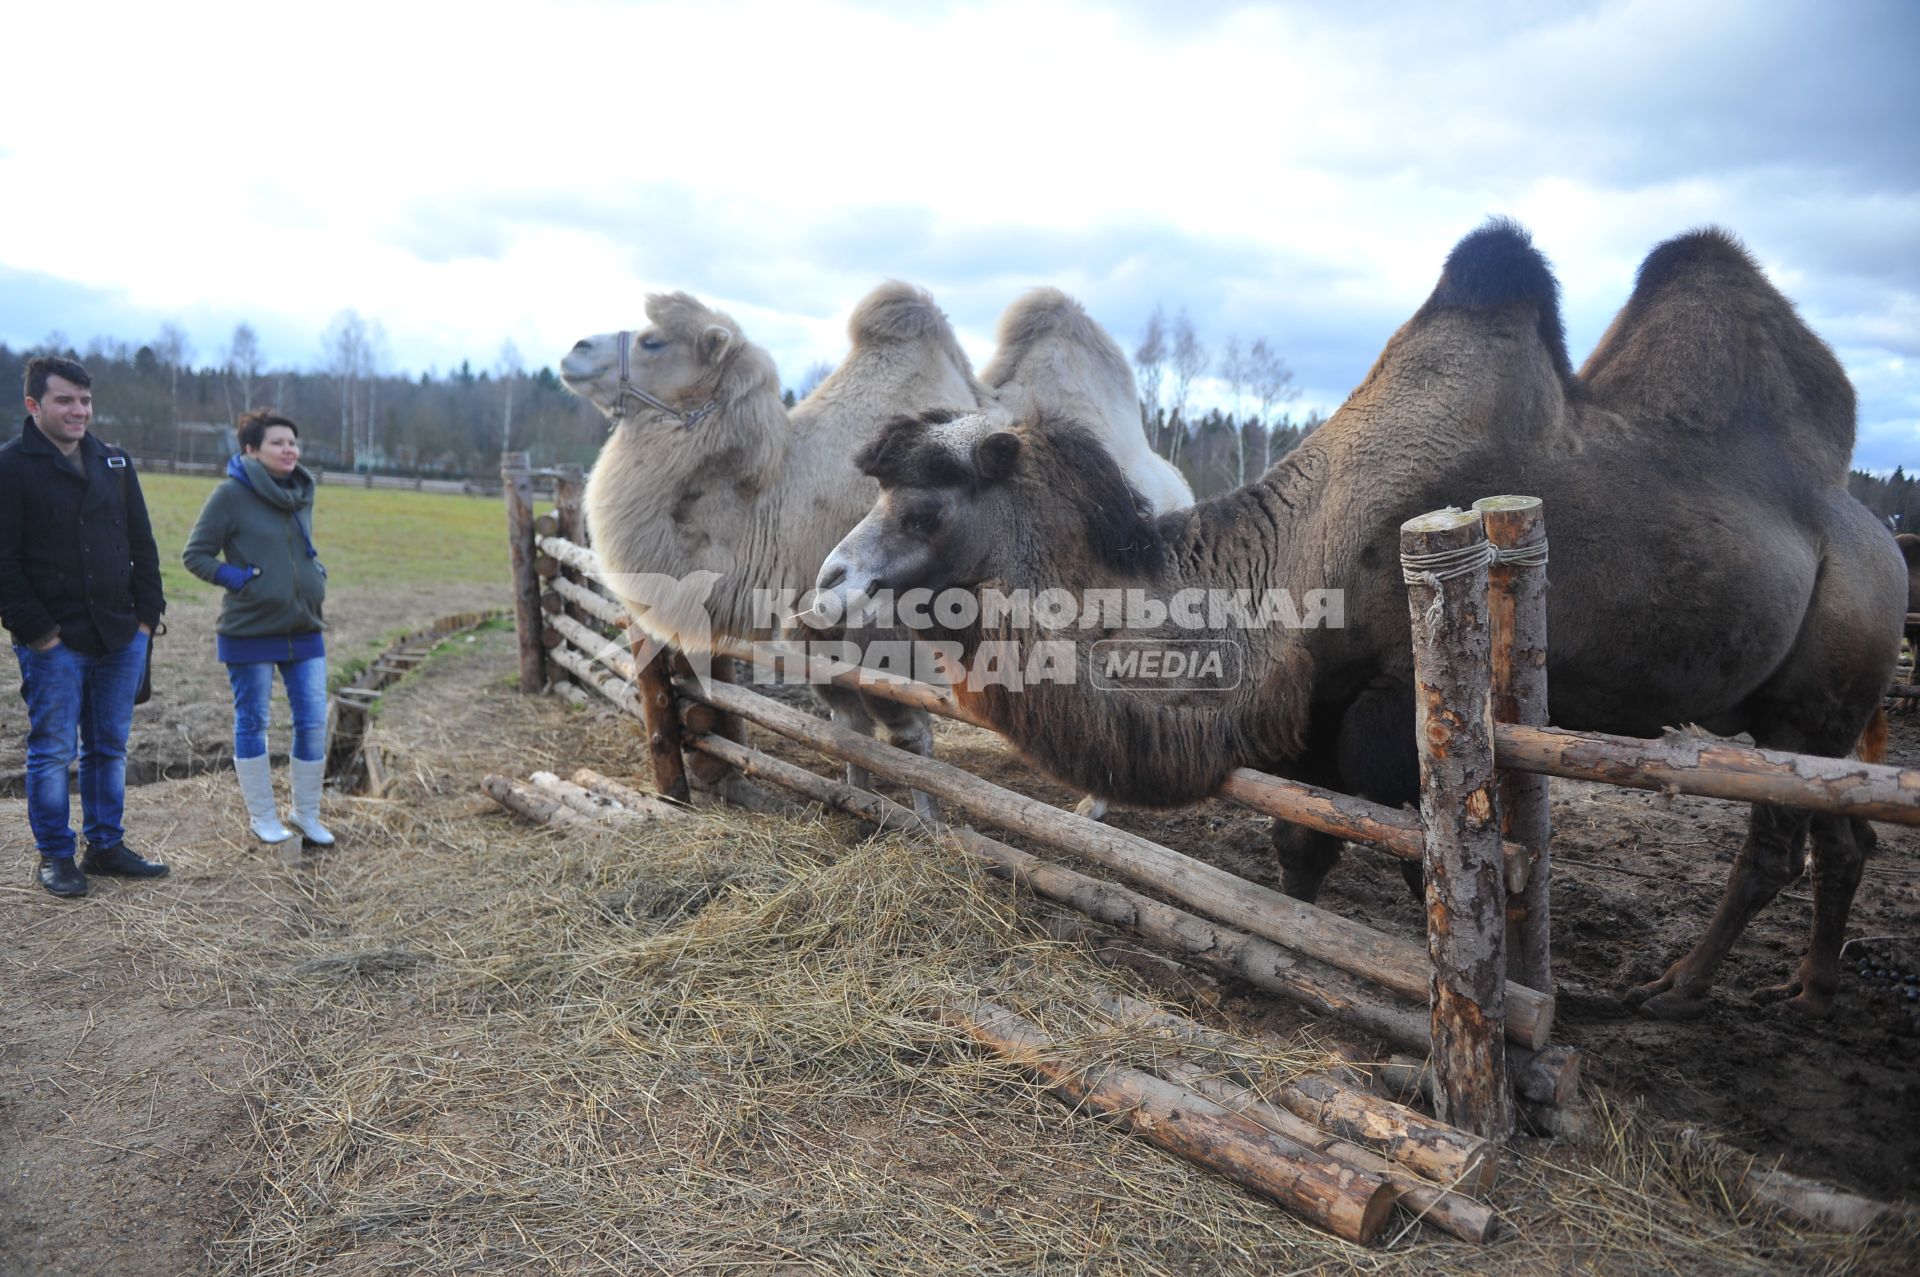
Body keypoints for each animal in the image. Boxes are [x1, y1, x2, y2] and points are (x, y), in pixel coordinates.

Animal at [814, 218, 1904, 1013]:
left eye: (924, 504)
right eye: (882, 489)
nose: (826, 583)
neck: (1292, 560)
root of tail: (1879, 539)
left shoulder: (1391, 720)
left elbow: (1421, 873)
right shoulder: (1303, 719)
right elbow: (1298, 848)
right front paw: (1273, 955)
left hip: (1817, 689)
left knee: (1775, 844)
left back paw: (1677, 987)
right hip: (1801, 712)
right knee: (1842, 836)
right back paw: (1810, 988)